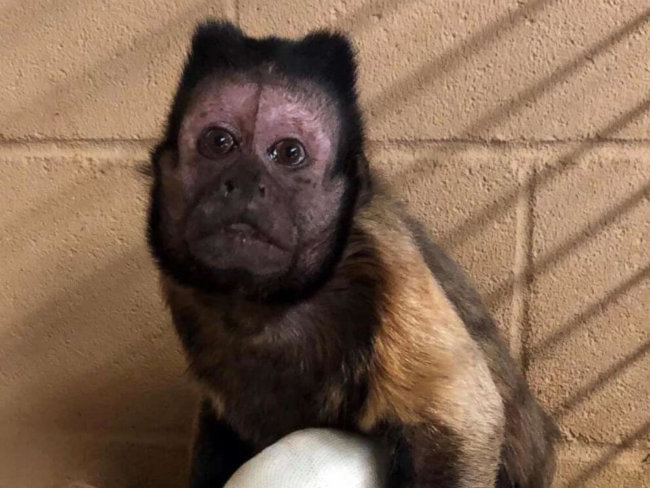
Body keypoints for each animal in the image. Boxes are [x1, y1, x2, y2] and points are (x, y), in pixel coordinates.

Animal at [145, 20, 558, 488]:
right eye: (219, 142)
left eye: (288, 152)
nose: (246, 181)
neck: (271, 306)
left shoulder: (387, 263)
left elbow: (463, 427)